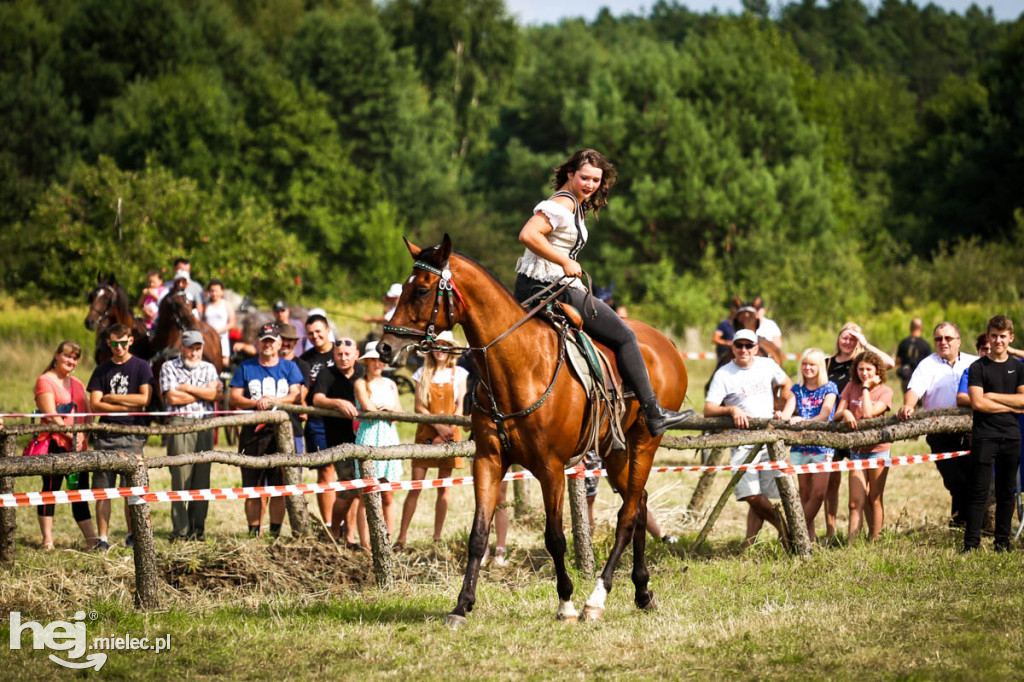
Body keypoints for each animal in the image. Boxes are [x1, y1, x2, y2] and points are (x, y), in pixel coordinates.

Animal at [380, 235, 692, 626]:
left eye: (421, 290)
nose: (385, 347)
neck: (518, 364)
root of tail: (668, 345)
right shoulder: (488, 461)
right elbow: (478, 535)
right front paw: (462, 605)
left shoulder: (551, 468)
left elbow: (555, 537)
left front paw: (566, 603)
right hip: (615, 450)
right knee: (640, 504)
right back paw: (642, 590)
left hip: (645, 442)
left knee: (627, 515)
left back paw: (597, 599)